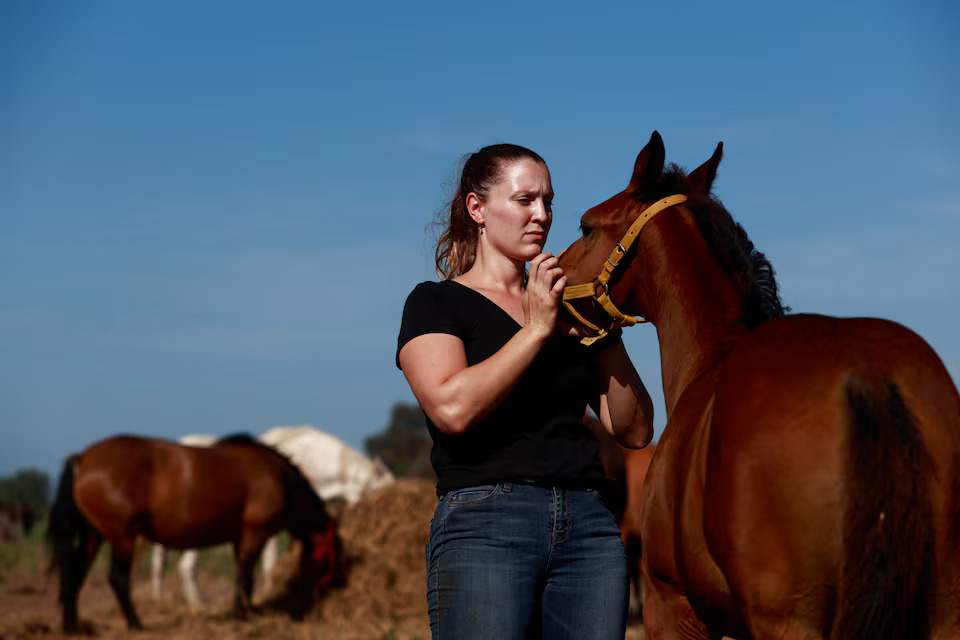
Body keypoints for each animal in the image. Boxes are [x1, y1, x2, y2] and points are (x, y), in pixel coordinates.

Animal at [47, 432, 344, 632]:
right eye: (333, 551)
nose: (337, 584)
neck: (280, 479)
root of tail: (83, 459)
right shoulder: (255, 535)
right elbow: (244, 577)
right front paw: (242, 616)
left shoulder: (239, 538)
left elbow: (244, 579)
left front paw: (246, 613)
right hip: (122, 537)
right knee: (117, 579)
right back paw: (135, 624)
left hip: (94, 535)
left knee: (75, 577)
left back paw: (73, 627)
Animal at [560, 132, 960, 636]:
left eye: (586, 227)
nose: (547, 274)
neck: (711, 358)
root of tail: (870, 373)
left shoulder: (671, 606)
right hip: (943, 613)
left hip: (786, 620)